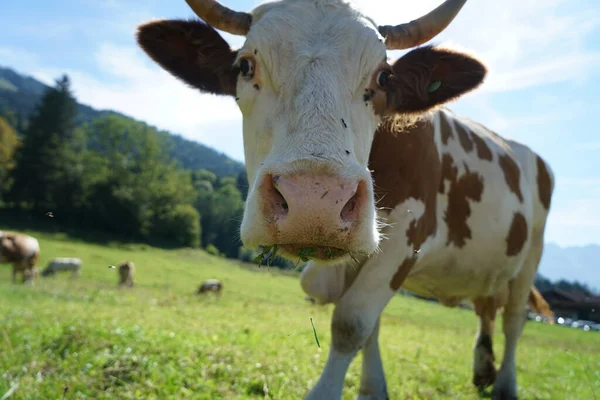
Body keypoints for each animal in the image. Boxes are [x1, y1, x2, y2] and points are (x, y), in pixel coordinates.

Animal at [138, 1, 556, 398]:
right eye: (245, 65)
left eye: (384, 76)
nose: (314, 201)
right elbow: (369, 323)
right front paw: (372, 389)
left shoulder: (405, 238)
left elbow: (352, 322)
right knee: (488, 308)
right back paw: (484, 370)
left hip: (530, 257)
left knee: (513, 319)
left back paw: (505, 385)